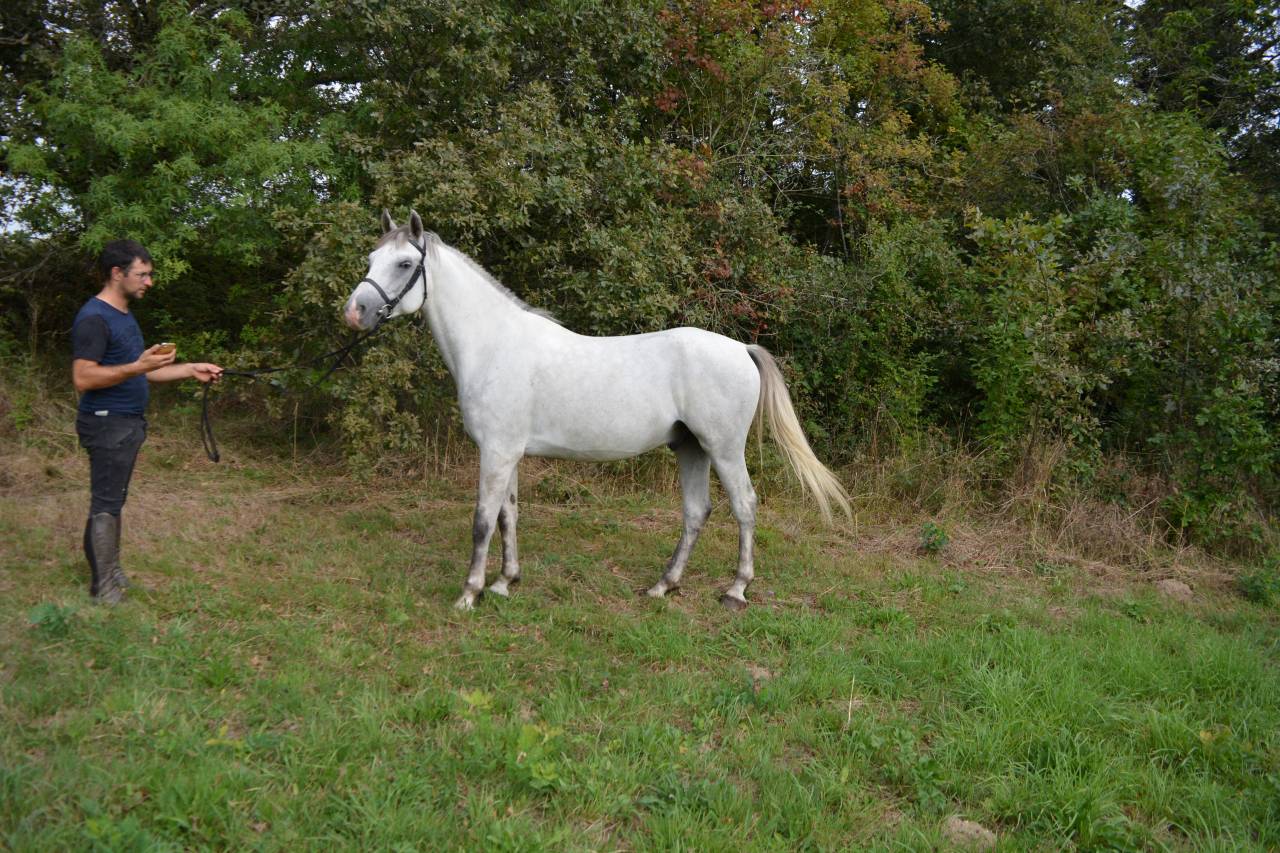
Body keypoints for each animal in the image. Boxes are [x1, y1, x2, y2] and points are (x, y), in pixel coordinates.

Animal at [342, 210, 850, 611]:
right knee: (696, 512)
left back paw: (736, 590)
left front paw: (470, 593)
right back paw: (663, 586)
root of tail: (740, 348)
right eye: (369, 260)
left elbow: (483, 521)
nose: (355, 312)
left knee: (744, 506)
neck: (494, 345)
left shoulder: (497, 452)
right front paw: (505, 582)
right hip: (691, 448)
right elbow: (508, 515)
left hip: (723, 449)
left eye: (405, 263)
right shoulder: (507, 452)